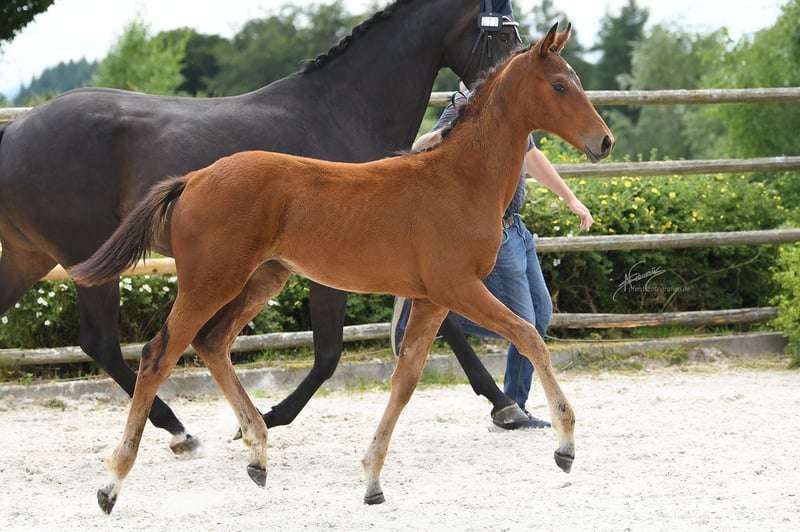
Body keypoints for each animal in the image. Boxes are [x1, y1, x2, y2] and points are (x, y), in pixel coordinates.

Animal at [0, 0, 526, 453]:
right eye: (503, 31)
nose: (510, 78)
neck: (343, 110)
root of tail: (15, 131)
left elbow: (442, 328)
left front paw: (505, 406)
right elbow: (331, 352)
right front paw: (265, 418)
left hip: (30, 257)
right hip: (83, 256)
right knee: (103, 342)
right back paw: (178, 430)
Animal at [71, 22, 614, 513]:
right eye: (560, 85)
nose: (605, 141)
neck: (460, 178)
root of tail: (193, 178)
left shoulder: (431, 299)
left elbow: (406, 380)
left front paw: (372, 479)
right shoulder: (458, 287)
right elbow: (530, 336)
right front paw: (565, 445)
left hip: (263, 277)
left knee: (212, 342)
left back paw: (258, 453)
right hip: (210, 282)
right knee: (157, 356)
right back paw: (113, 483)